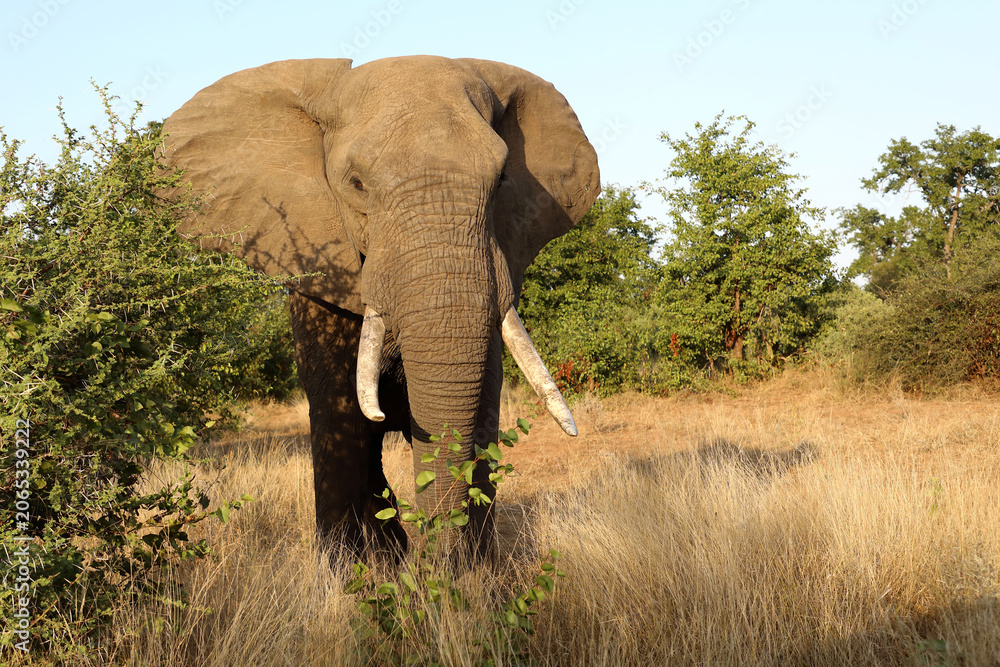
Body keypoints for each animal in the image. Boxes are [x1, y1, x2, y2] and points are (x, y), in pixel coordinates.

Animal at [160, 56, 600, 559]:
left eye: (503, 179)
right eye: (356, 184)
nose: (439, 565)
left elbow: (481, 416)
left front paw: (476, 573)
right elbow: (342, 419)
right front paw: (345, 573)